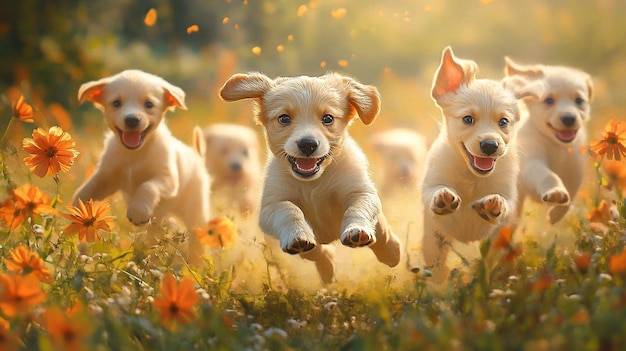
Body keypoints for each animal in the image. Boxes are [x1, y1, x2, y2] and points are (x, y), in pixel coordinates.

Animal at [73, 70, 210, 260]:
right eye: (116, 103)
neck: (135, 154)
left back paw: (196, 261)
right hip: (160, 219)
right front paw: (78, 206)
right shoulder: (108, 177)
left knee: (196, 240)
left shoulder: (167, 179)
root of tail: (197, 157)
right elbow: (89, 188)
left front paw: (138, 210)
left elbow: (147, 186)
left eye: (149, 104)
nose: (132, 119)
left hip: (195, 212)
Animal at [219, 72, 400, 286]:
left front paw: (357, 230)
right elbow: (289, 210)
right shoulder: (271, 206)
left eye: (328, 118)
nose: (307, 144)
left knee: (382, 233)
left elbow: (357, 208)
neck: (313, 181)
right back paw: (325, 266)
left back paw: (392, 253)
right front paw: (298, 236)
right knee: (318, 252)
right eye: (284, 118)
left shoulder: (360, 191)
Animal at [420, 47, 540, 284]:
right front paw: (443, 198)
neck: (473, 177)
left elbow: (505, 203)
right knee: (436, 263)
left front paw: (492, 204)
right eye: (468, 119)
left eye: (503, 122)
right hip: (433, 240)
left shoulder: (509, 195)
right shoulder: (432, 181)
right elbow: (433, 191)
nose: (490, 145)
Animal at [500, 56, 592, 224]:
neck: (556, 145)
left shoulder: (575, 168)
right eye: (549, 101)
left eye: (579, 100)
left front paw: (556, 214)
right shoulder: (531, 160)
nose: (568, 118)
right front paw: (556, 191)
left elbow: (573, 191)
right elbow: (547, 175)